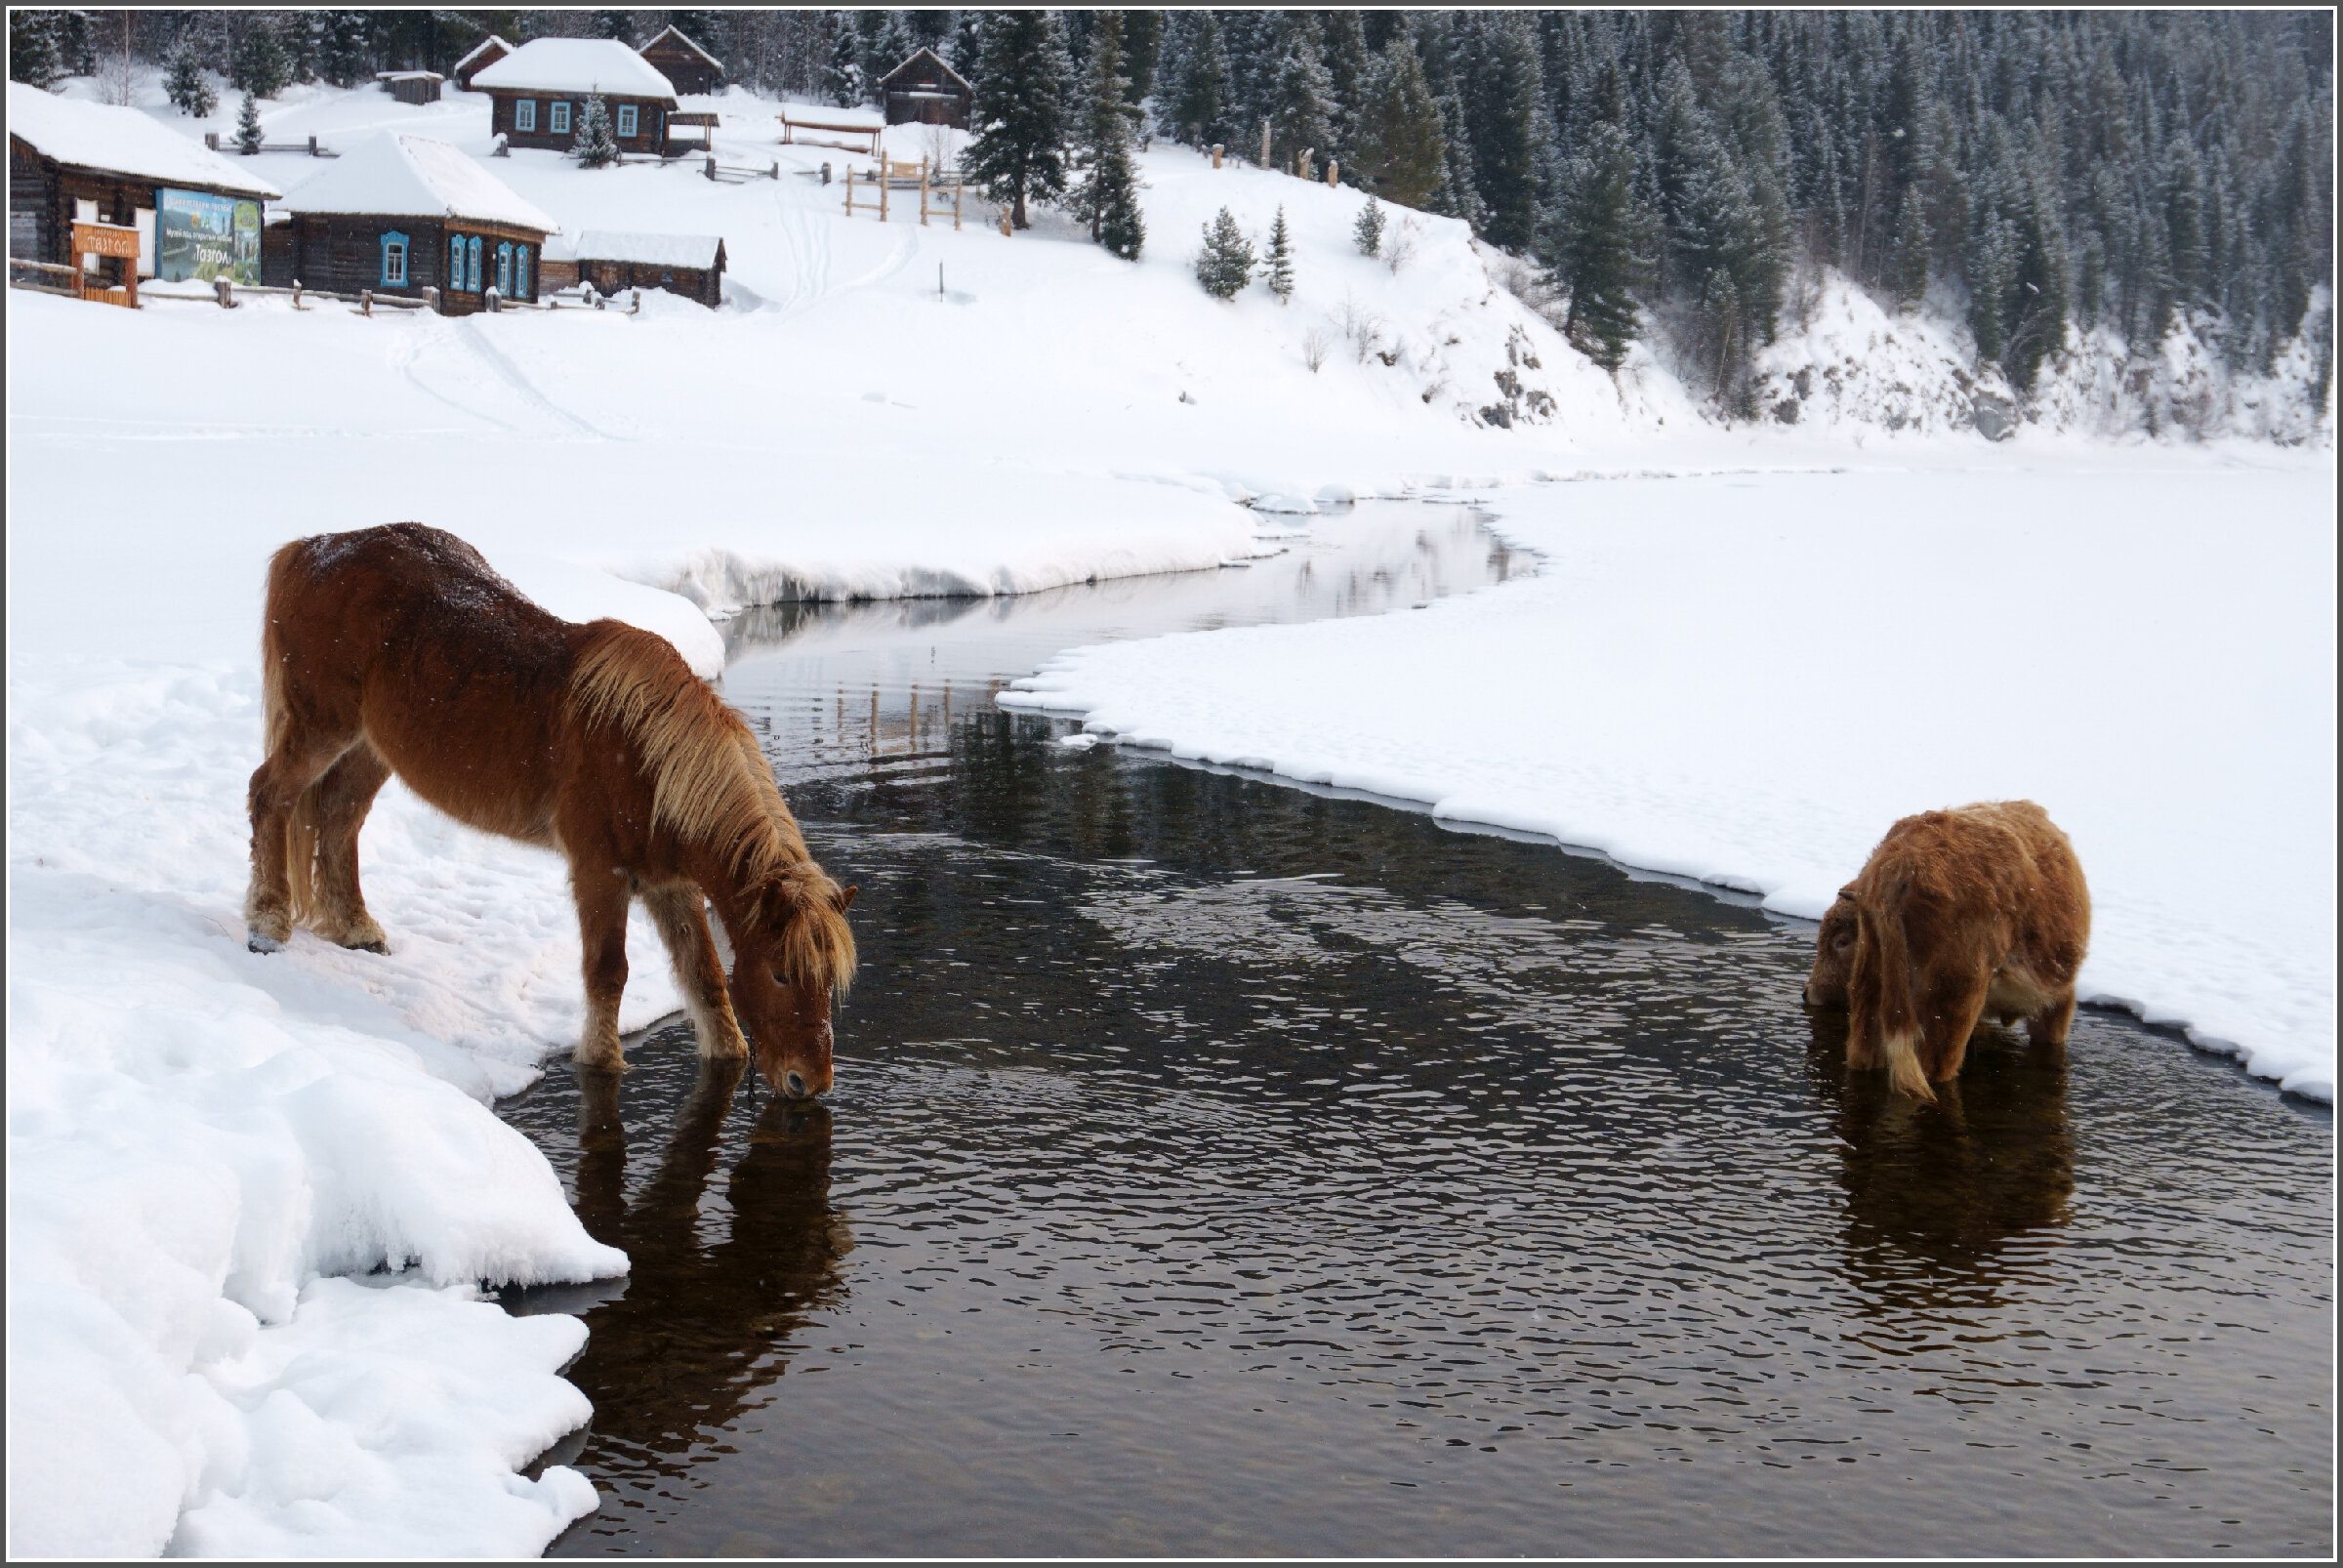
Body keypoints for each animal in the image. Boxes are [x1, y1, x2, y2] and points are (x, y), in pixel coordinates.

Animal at [242, 519, 862, 1096]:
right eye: (781, 975)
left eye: (829, 982)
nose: (810, 1083)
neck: (646, 758)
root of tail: (312, 548)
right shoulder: (600, 873)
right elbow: (608, 971)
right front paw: (600, 1058)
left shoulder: (672, 886)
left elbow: (704, 975)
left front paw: (726, 1051)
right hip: (322, 728)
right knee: (270, 794)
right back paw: (268, 923)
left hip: (371, 749)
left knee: (338, 819)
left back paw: (356, 929)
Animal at [1799, 797, 2099, 1101]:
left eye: (1842, 941)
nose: (1808, 993)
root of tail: (1900, 863)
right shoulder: (2056, 1004)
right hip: (1953, 1004)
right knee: (1935, 1069)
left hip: (1870, 999)